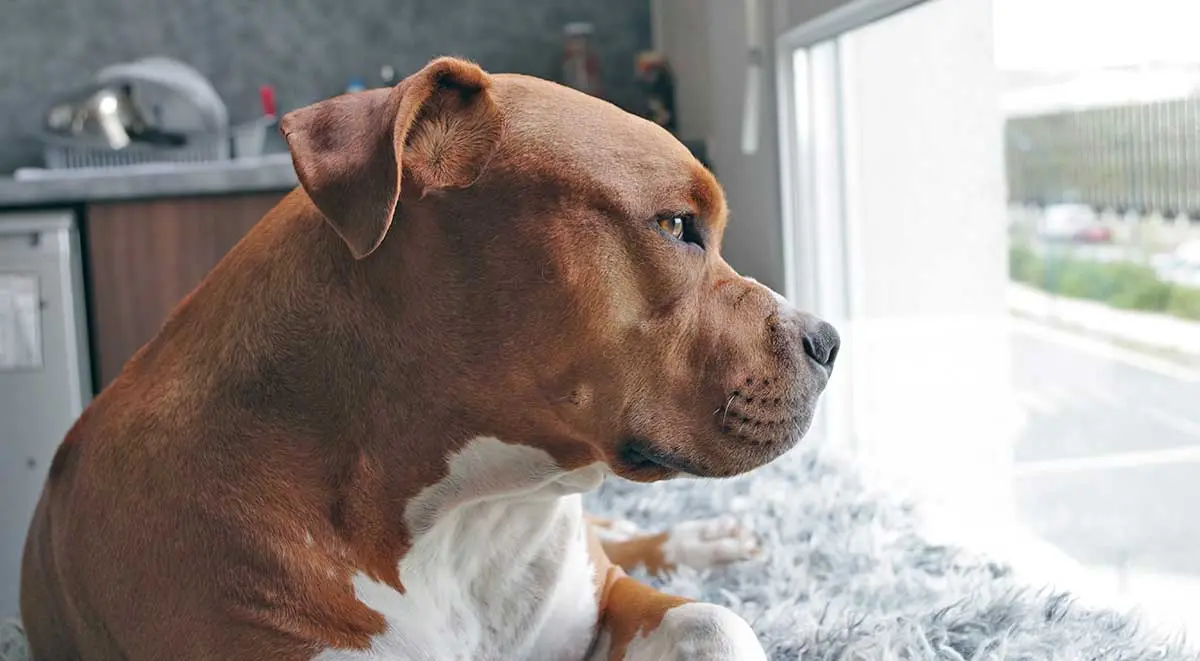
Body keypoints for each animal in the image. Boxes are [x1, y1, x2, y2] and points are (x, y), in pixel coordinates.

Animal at [23, 56, 840, 661]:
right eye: (675, 226)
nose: (829, 340)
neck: (462, 510)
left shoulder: (606, 601)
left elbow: (715, 620)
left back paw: (709, 538)